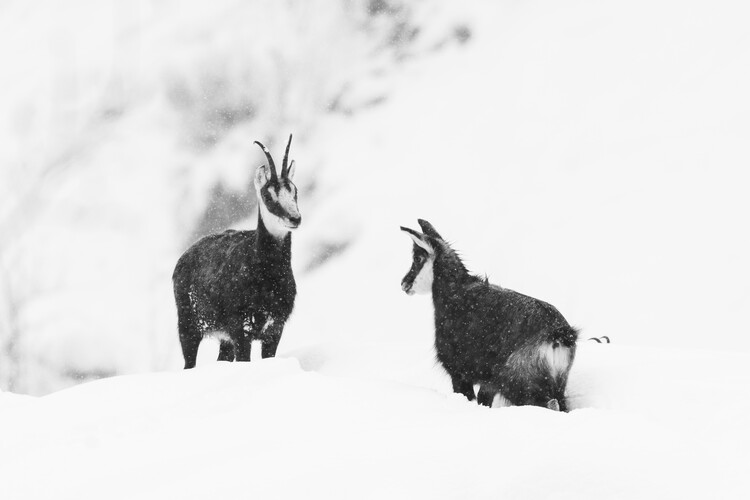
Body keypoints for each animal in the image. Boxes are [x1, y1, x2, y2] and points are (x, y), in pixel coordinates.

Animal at [173, 135, 301, 369]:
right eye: (269, 197)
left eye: (295, 192)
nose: (295, 218)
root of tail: (184, 256)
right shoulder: (240, 328)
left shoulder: (275, 328)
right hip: (188, 323)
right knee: (189, 361)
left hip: (223, 337)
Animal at [400, 219, 577, 411]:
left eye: (417, 259)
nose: (404, 283)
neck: (454, 294)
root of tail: (558, 335)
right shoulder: (488, 383)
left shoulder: (458, 370)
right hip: (557, 383)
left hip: (517, 382)